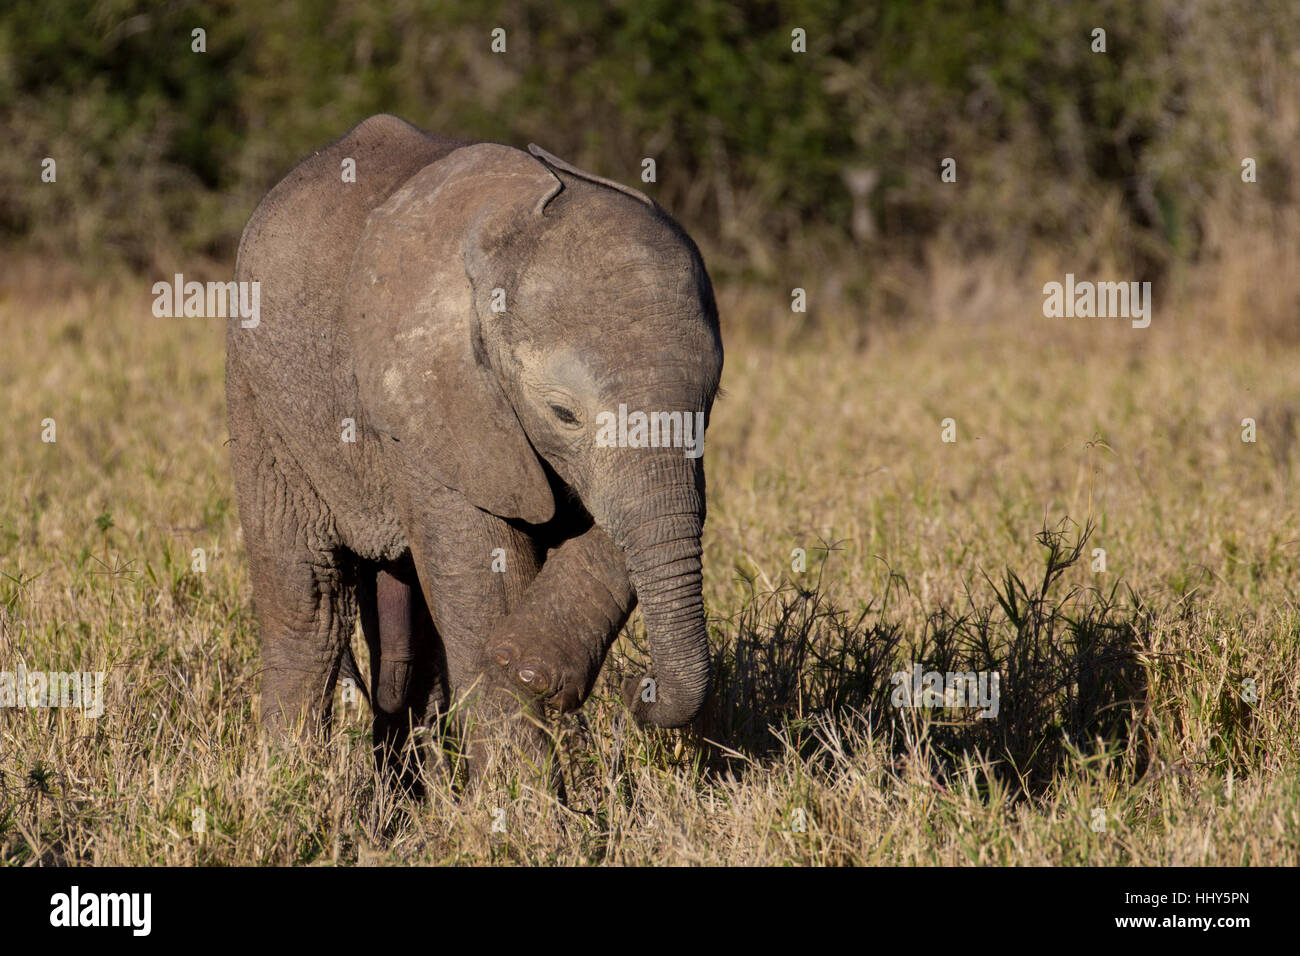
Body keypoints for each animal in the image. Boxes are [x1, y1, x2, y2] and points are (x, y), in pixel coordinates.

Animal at [226, 114, 723, 782]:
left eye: (710, 401)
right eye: (563, 414)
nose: (637, 694)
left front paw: (530, 665)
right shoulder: (432, 398)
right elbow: (486, 578)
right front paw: (527, 800)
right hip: (257, 390)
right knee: (309, 600)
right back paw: (290, 782)